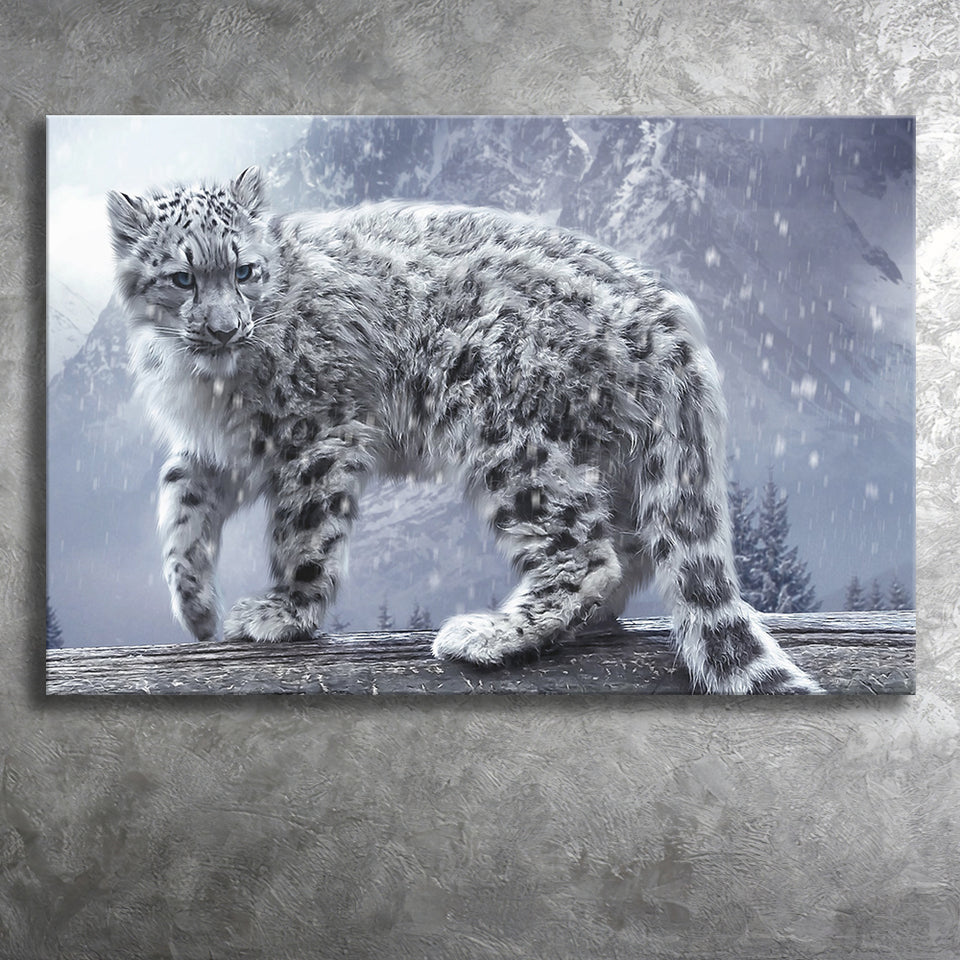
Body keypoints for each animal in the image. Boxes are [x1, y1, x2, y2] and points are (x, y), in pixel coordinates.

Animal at [106, 166, 822, 694]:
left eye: (245, 270)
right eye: (182, 277)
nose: (225, 327)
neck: (205, 382)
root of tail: (666, 318)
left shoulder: (316, 433)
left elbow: (302, 530)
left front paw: (281, 613)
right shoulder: (220, 447)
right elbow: (180, 498)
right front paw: (196, 607)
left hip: (510, 436)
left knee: (588, 548)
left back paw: (490, 634)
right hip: (610, 453)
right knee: (634, 544)